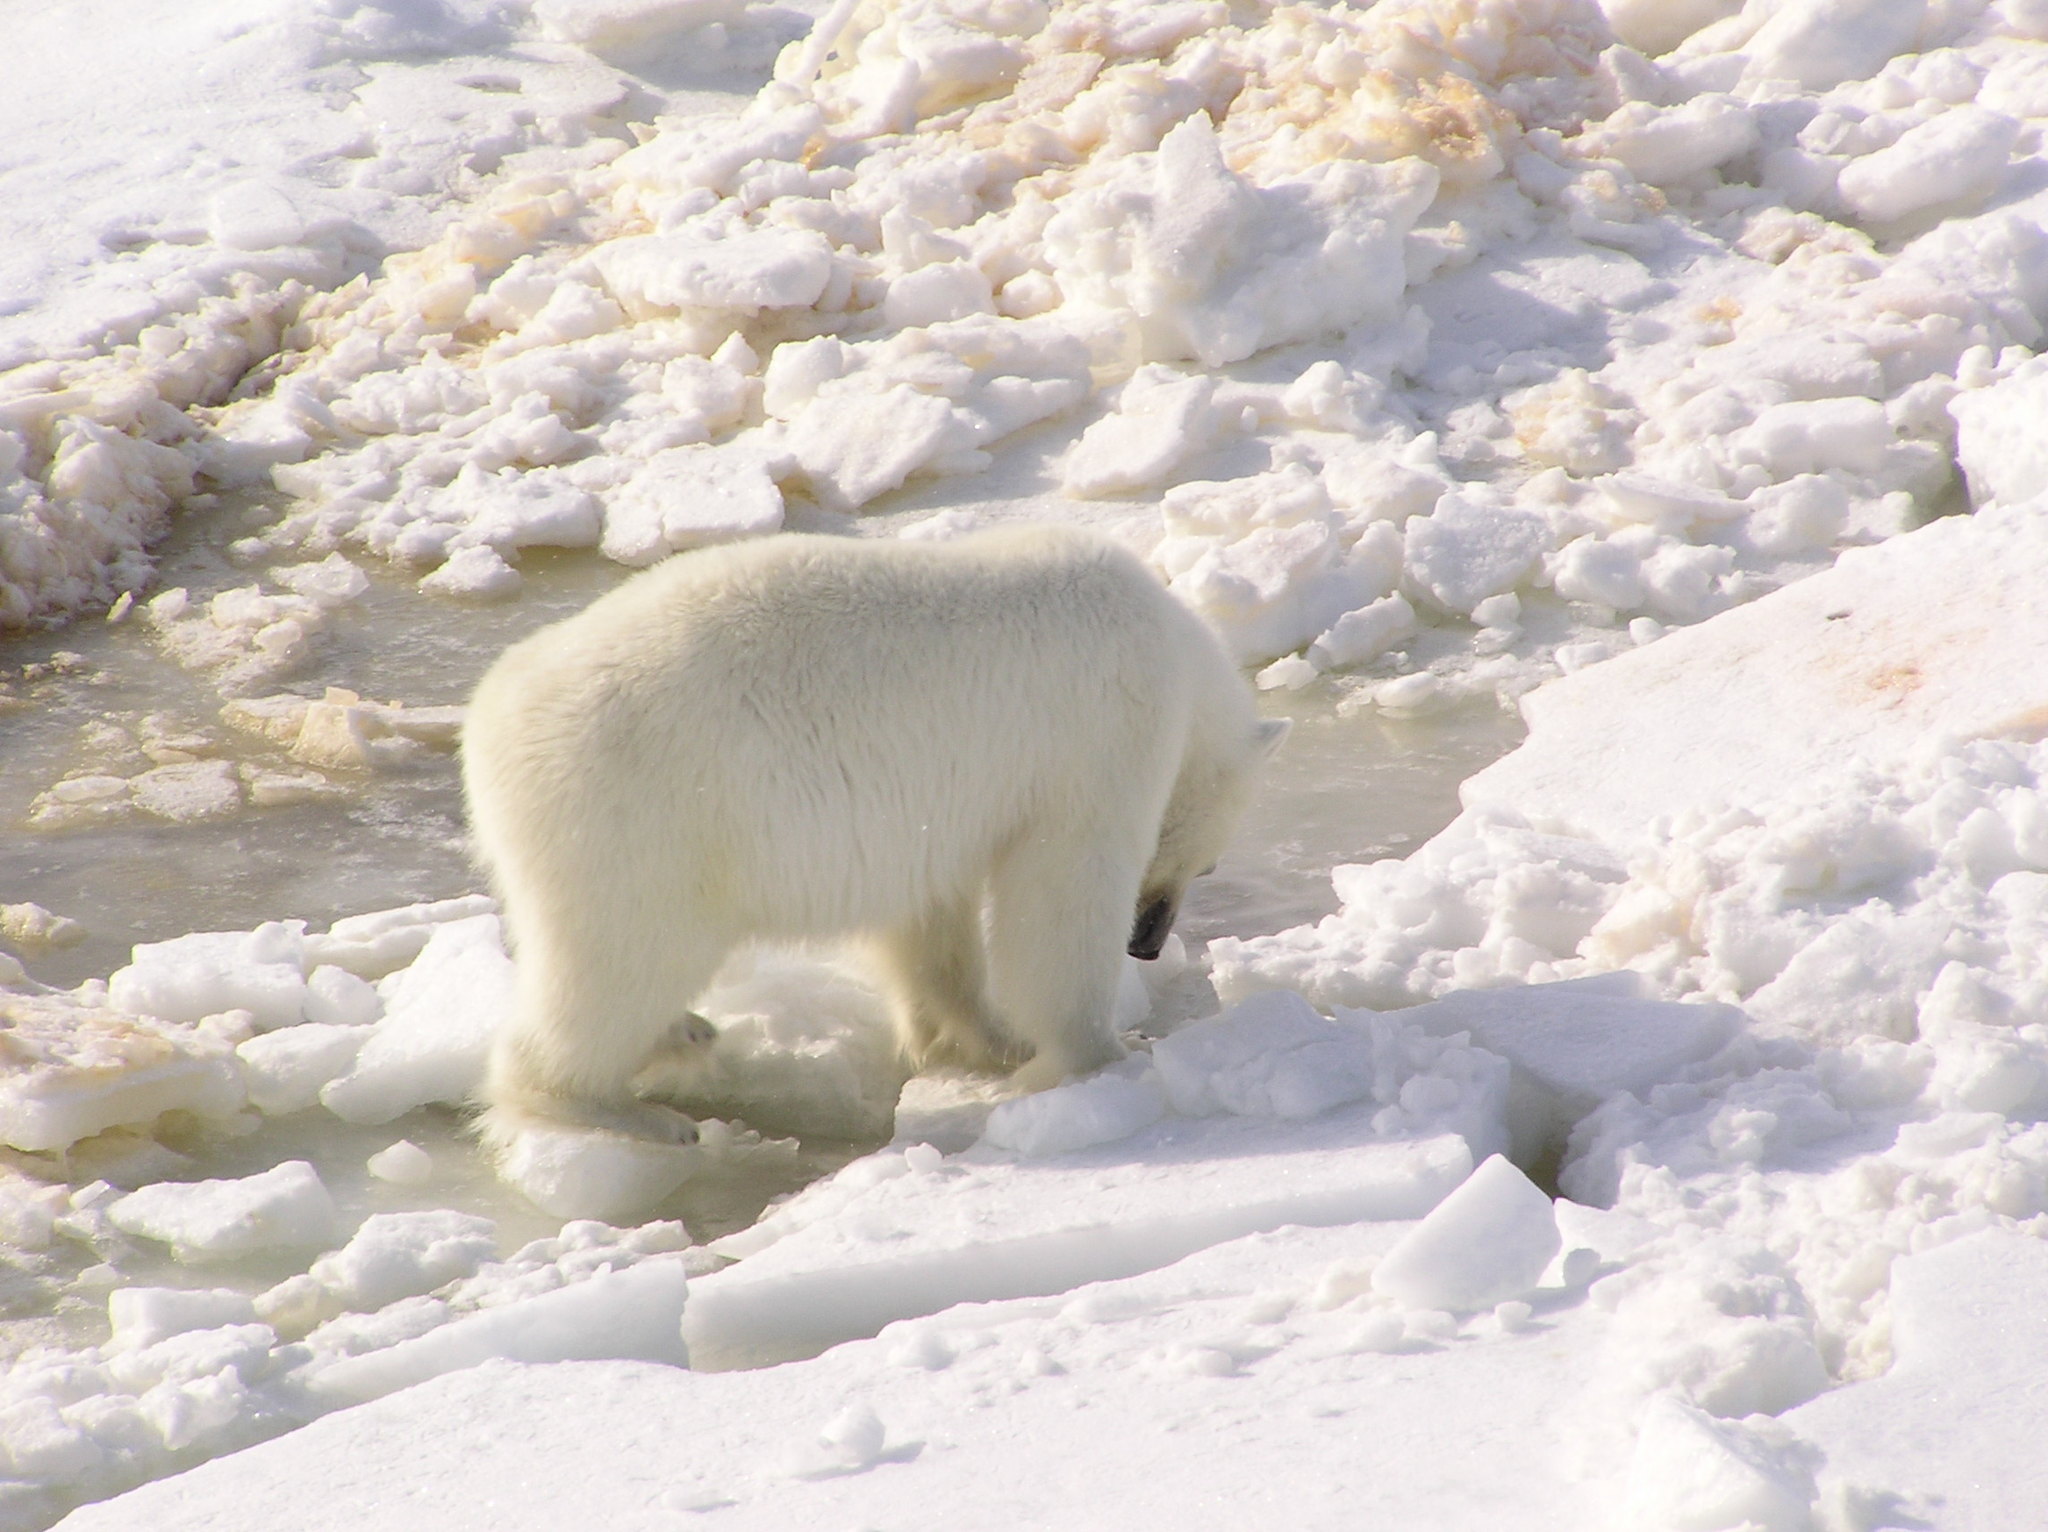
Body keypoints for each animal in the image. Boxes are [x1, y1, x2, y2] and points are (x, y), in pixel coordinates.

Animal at [468, 520, 1277, 1146]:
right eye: (1204, 865)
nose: (1148, 944)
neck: (1180, 655)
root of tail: (490, 717)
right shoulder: (1099, 739)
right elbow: (1061, 892)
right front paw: (1103, 1052)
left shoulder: (943, 811)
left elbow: (932, 919)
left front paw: (980, 1038)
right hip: (637, 813)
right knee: (620, 957)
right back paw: (621, 1110)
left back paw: (681, 1033)